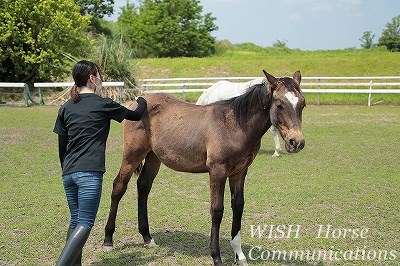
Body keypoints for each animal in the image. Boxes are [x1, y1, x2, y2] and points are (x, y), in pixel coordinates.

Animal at [103, 69, 306, 264]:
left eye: (302, 103)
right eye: (279, 104)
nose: (296, 142)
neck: (235, 125)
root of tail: (136, 101)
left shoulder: (240, 171)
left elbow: (238, 206)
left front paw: (239, 255)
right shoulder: (217, 171)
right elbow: (217, 210)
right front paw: (216, 256)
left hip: (154, 157)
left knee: (143, 187)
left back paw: (147, 238)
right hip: (132, 155)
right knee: (118, 187)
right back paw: (108, 240)